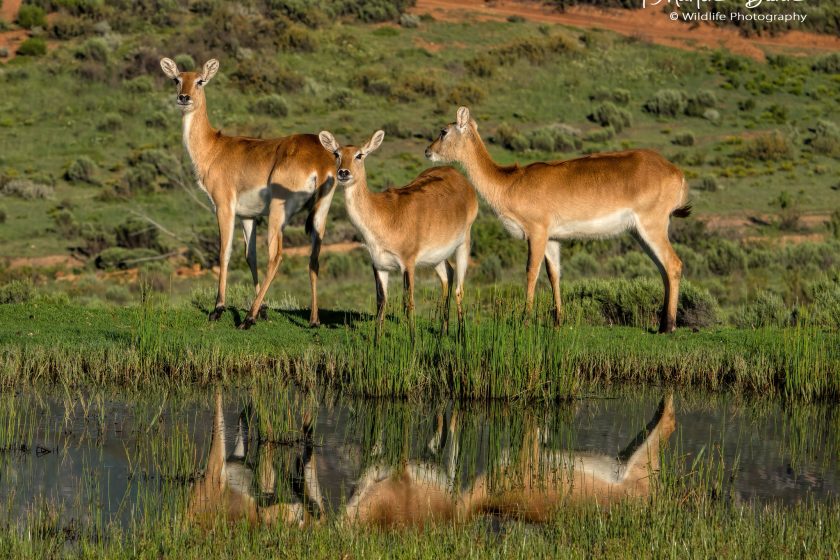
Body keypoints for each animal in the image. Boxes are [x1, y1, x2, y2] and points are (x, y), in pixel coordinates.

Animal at [161, 57, 338, 328]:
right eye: (176, 79)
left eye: (200, 80)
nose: (183, 97)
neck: (213, 149)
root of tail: (321, 161)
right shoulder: (248, 216)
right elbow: (249, 256)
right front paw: (264, 309)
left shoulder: (224, 207)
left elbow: (224, 253)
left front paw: (218, 309)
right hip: (320, 213)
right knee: (314, 258)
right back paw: (313, 320)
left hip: (278, 211)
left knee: (276, 256)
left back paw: (247, 319)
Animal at [316, 129, 476, 334]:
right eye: (337, 154)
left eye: (359, 155)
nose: (343, 172)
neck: (385, 216)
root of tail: (459, 177)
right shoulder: (379, 265)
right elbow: (380, 304)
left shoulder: (408, 263)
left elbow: (408, 304)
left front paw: (412, 340)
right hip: (437, 256)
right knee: (448, 274)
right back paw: (443, 332)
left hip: (464, 243)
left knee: (459, 289)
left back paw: (460, 335)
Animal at [426, 107, 688, 330]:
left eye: (444, 131)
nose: (427, 151)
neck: (509, 183)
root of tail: (676, 172)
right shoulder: (553, 239)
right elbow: (554, 275)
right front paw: (558, 321)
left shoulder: (537, 233)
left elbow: (531, 271)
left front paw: (525, 320)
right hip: (639, 232)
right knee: (663, 268)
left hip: (652, 226)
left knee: (673, 264)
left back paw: (669, 327)